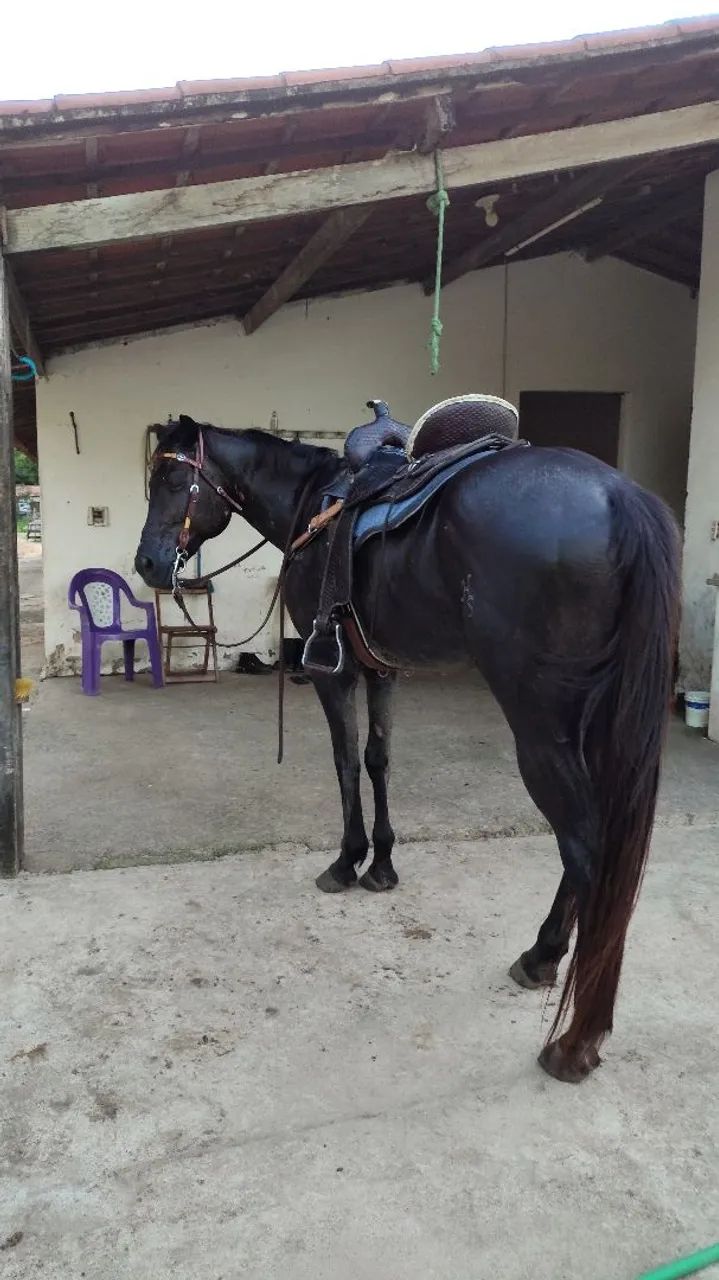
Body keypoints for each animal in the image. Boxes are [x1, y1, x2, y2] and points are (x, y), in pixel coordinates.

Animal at [135, 411, 680, 1084]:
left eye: (170, 480)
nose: (148, 564)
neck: (312, 503)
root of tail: (620, 497)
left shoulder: (332, 672)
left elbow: (345, 762)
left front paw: (347, 862)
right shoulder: (382, 671)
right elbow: (379, 760)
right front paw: (383, 865)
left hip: (544, 728)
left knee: (585, 850)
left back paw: (573, 1034)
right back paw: (547, 965)